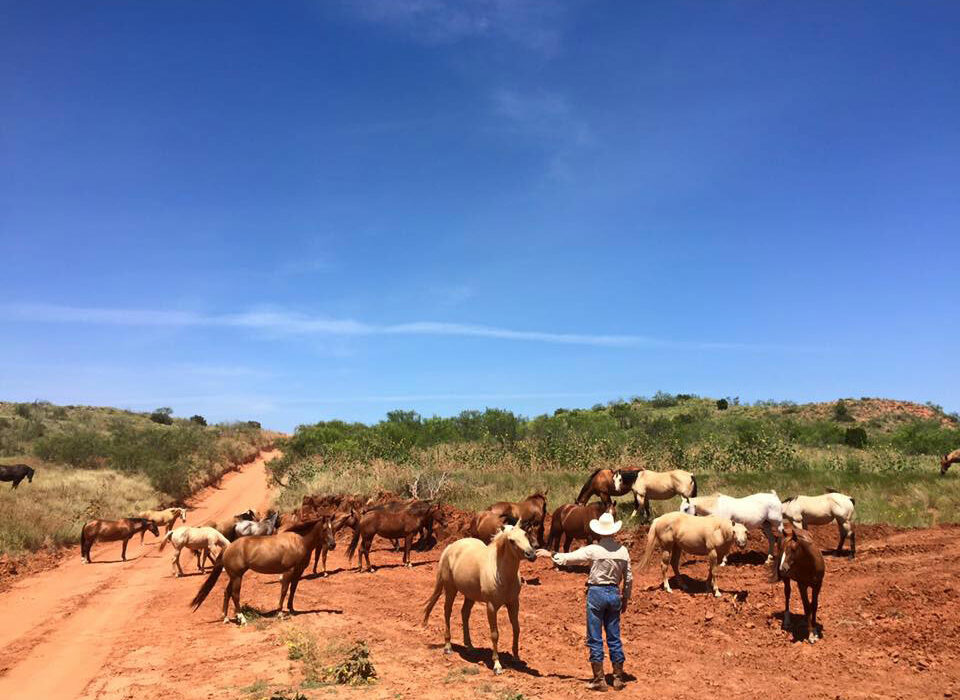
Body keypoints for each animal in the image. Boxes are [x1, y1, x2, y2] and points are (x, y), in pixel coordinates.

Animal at [188, 516, 338, 624]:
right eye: (325, 529)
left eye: (333, 529)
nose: (332, 545)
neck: (298, 542)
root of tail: (228, 547)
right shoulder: (288, 572)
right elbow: (284, 591)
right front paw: (280, 613)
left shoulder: (298, 572)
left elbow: (293, 591)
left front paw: (291, 609)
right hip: (237, 577)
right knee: (235, 595)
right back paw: (242, 619)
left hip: (233, 576)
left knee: (227, 592)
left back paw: (225, 617)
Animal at [422, 524, 536, 672]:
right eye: (511, 541)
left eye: (525, 534)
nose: (531, 554)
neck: (500, 573)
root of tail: (450, 547)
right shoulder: (491, 606)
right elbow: (494, 634)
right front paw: (497, 665)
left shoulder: (513, 603)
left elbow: (516, 629)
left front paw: (516, 658)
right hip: (450, 589)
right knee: (447, 612)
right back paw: (448, 646)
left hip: (470, 595)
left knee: (464, 614)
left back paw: (470, 646)